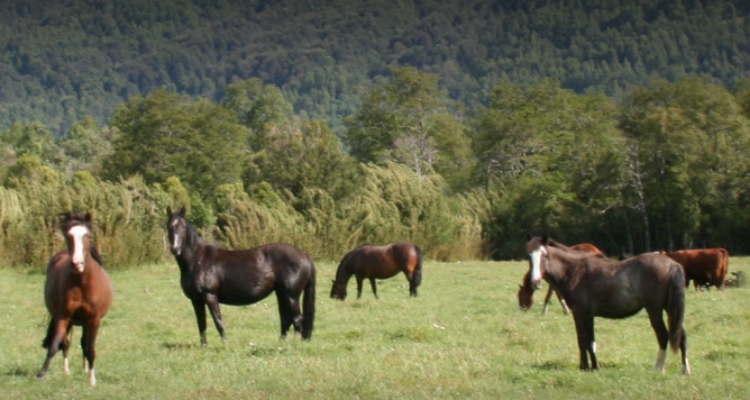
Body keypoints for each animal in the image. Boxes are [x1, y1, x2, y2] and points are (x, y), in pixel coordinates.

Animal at [37, 211, 112, 386]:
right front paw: (42, 373)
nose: (77, 263)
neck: (81, 283)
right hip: (69, 320)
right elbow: (54, 345)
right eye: (68, 235)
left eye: (88, 235)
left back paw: (85, 369)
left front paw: (92, 379)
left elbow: (90, 349)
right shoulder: (63, 316)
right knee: (66, 343)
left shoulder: (94, 320)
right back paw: (67, 370)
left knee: (84, 343)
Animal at [166, 206, 316, 344]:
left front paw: (225, 344)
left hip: (291, 295)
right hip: (282, 294)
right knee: (286, 320)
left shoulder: (210, 295)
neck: (199, 259)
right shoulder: (196, 300)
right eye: (169, 226)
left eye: (183, 226)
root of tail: (305, 256)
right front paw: (204, 345)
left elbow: (218, 321)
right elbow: (201, 323)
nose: (175, 249)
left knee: (297, 319)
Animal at [524, 236, 692, 374]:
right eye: (529, 256)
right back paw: (685, 370)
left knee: (663, 335)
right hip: (670, 309)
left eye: (544, 255)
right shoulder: (589, 316)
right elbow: (591, 342)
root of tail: (672, 264)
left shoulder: (580, 314)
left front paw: (584, 367)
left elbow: (582, 340)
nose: (535, 283)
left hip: (655, 310)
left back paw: (658, 368)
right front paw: (594, 367)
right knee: (681, 335)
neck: (574, 271)